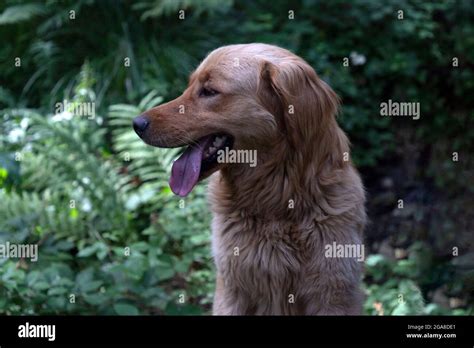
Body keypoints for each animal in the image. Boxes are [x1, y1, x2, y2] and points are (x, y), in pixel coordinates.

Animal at [132, 43, 366, 316]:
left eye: (209, 91)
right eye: (189, 86)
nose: (137, 123)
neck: (277, 199)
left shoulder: (334, 294)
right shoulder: (231, 290)